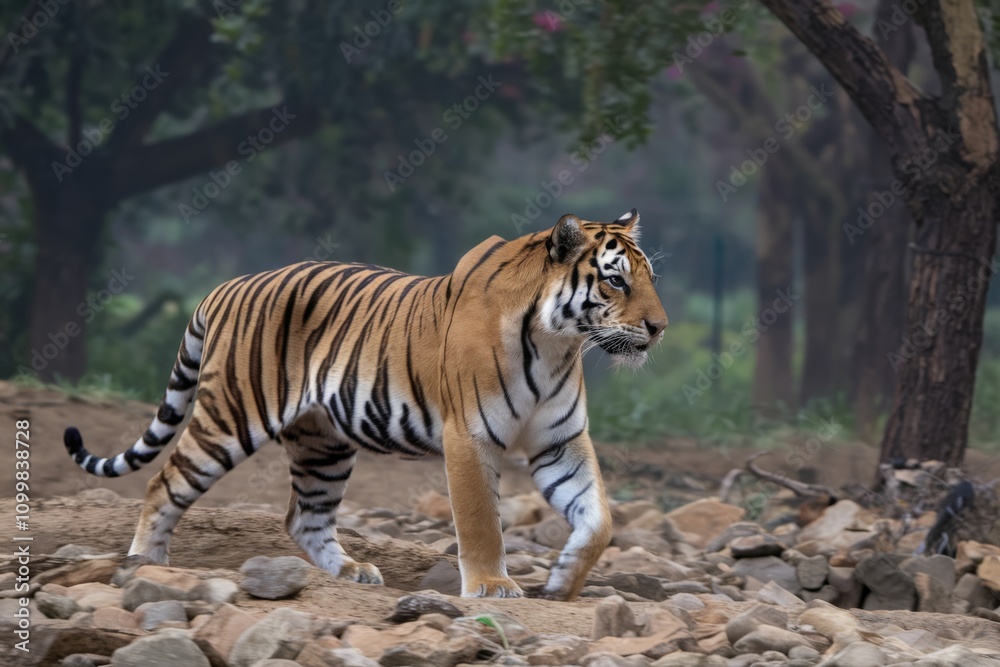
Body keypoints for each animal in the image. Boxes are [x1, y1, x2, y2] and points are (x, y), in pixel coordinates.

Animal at [63, 209, 667, 600]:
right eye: (615, 282)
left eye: (651, 280)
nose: (660, 328)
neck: (556, 343)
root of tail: (225, 286)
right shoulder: (469, 437)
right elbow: (480, 522)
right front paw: (492, 587)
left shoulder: (559, 442)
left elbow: (598, 519)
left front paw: (564, 580)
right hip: (232, 416)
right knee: (165, 481)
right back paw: (146, 565)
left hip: (323, 444)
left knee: (304, 516)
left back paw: (352, 572)